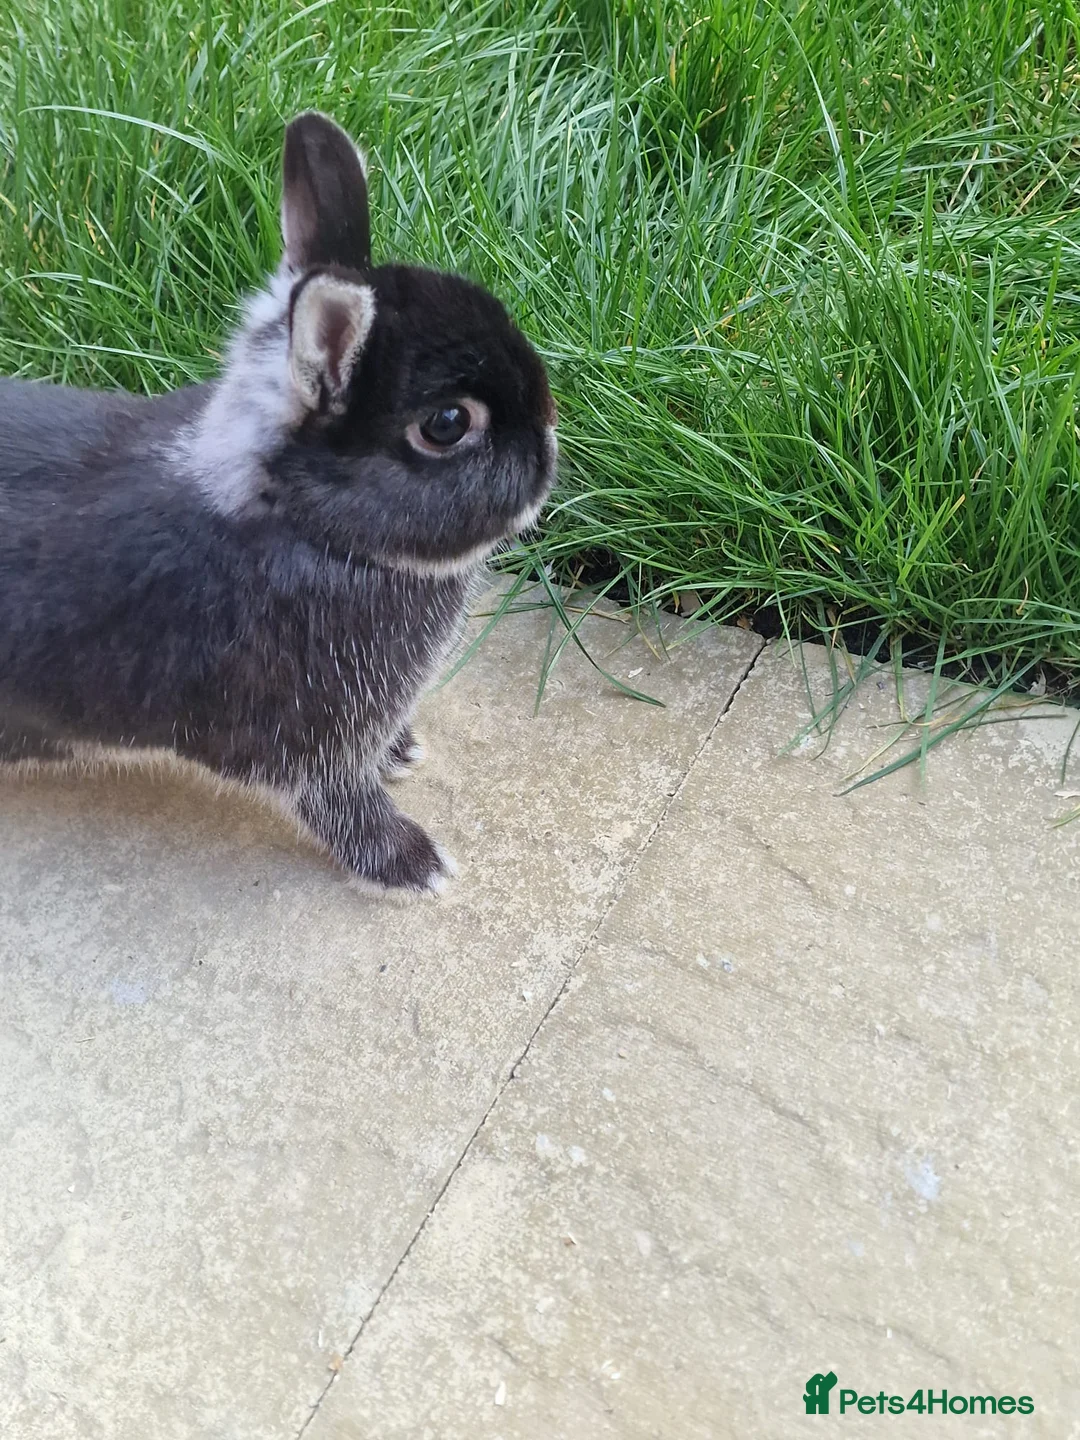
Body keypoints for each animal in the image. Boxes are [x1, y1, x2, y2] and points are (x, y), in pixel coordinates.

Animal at [0, 111, 557, 895]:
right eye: (448, 424)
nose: (548, 443)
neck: (305, 527)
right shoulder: (306, 744)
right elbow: (343, 807)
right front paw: (415, 866)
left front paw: (402, 751)